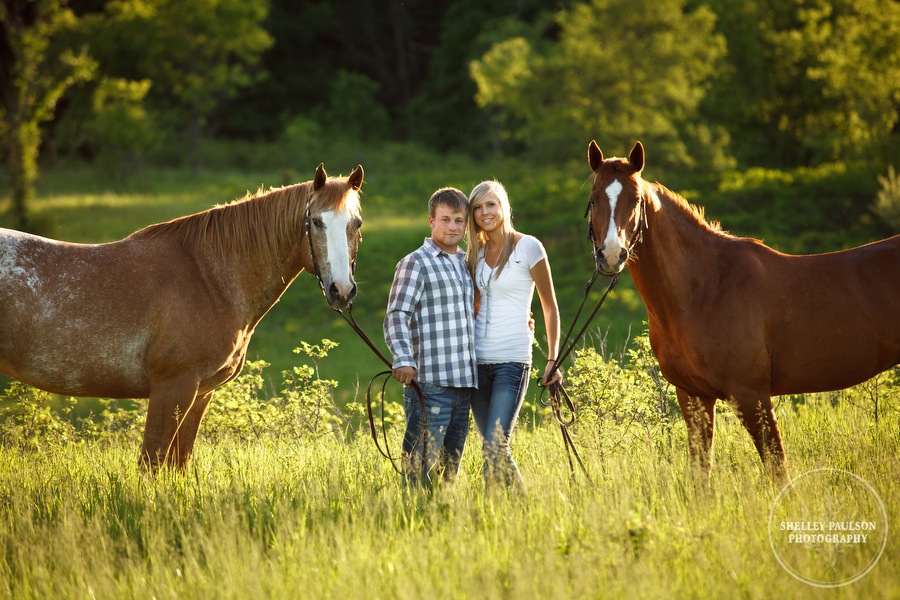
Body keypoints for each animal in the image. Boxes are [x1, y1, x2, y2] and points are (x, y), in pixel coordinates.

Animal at [1, 163, 366, 468]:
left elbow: (178, 463)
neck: (207, 278)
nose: (341, 290)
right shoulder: (172, 389)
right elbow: (152, 463)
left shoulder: (200, 393)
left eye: (356, 224)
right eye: (316, 222)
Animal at [584, 139, 900, 478]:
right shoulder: (693, 396)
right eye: (593, 199)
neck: (707, 287)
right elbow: (701, 472)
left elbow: (777, 467)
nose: (611, 255)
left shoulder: (751, 396)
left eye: (635, 200)